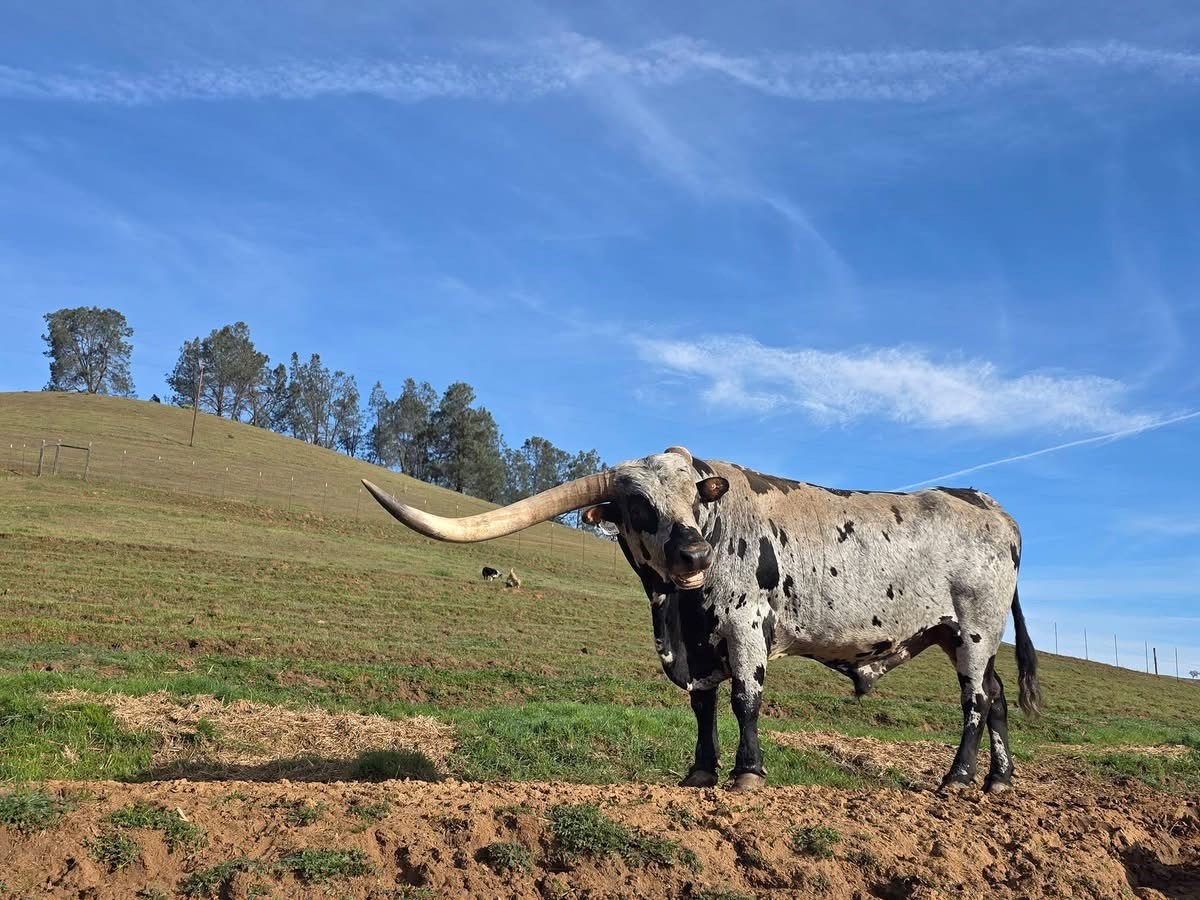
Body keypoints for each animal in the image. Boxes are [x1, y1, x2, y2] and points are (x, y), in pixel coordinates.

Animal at [362, 446, 1040, 793]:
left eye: (696, 497)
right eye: (637, 505)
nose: (693, 553)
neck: (677, 614)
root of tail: (997, 513)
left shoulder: (744, 627)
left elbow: (745, 698)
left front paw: (747, 773)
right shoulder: (698, 647)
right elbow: (704, 707)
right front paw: (700, 770)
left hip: (975, 628)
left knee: (976, 701)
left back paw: (956, 778)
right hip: (958, 634)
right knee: (999, 698)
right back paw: (998, 782)